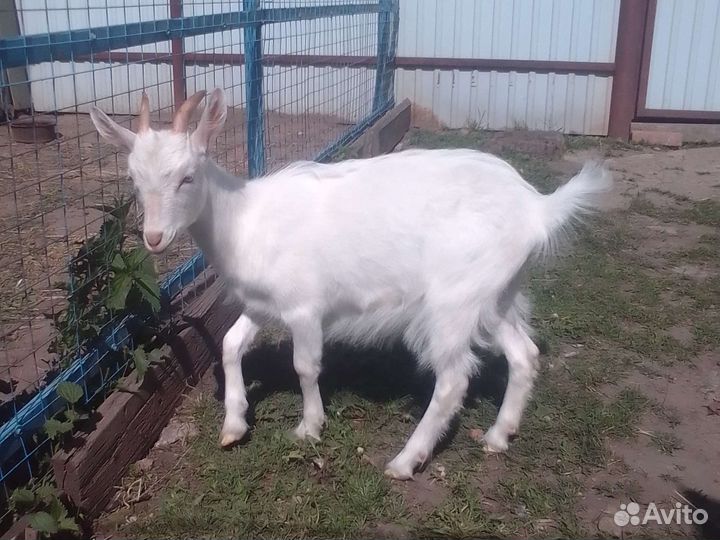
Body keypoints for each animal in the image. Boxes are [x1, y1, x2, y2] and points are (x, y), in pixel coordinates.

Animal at [90, 89, 612, 479]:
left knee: (452, 379)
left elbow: (304, 366)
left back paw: (406, 461)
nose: (154, 239)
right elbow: (231, 345)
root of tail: (537, 208)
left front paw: (309, 426)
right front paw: (234, 424)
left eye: (187, 176)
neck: (243, 220)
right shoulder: (262, 304)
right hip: (495, 295)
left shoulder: (304, 306)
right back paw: (499, 437)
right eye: (133, 178)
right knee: (524, 353)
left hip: (454, 299)